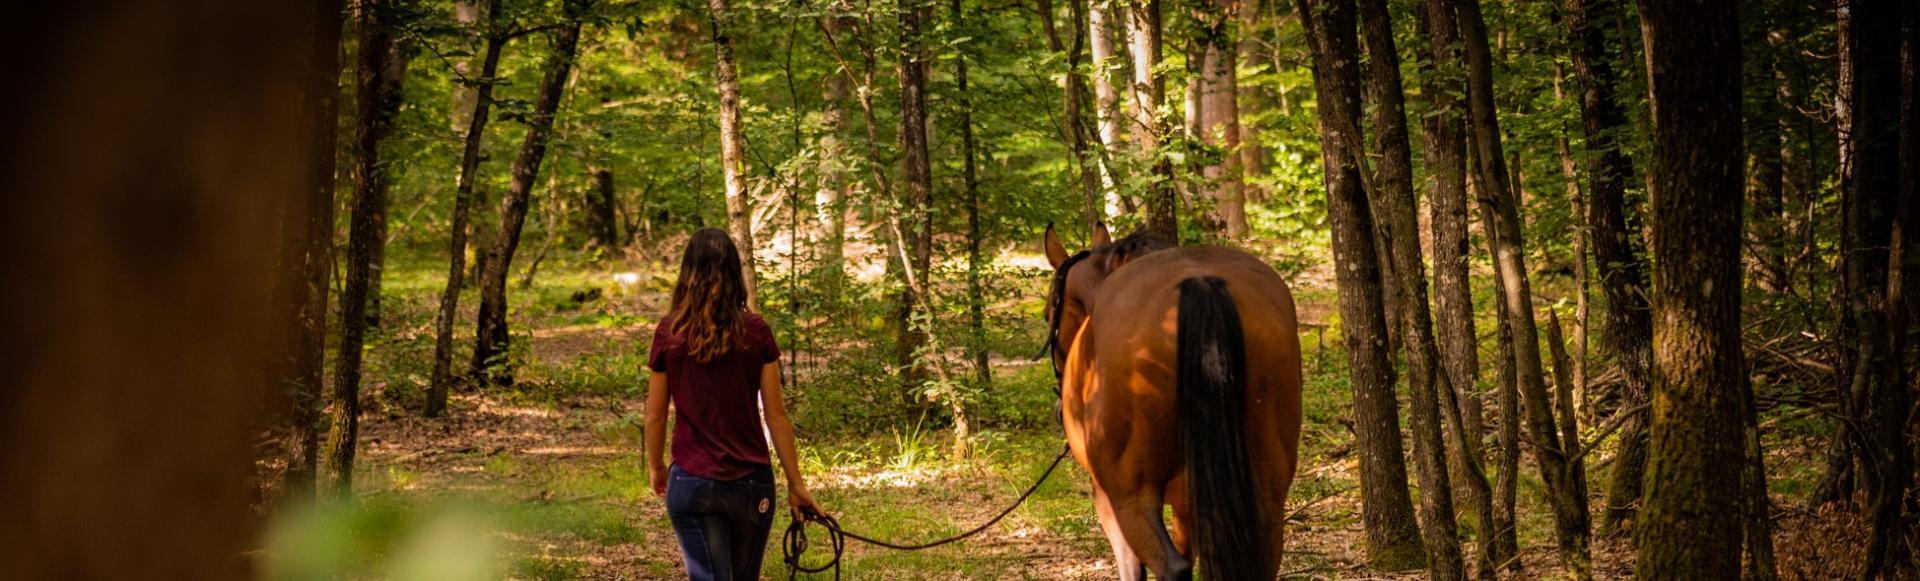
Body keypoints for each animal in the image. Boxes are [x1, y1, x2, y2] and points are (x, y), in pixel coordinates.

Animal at [1052, 225, 1305, 579]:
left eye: (1050, 311)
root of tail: (1198, 280)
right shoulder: (1187, 504)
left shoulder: (1109, 501)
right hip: (1266, 494)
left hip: (1130, 497)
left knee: (1172, 567)